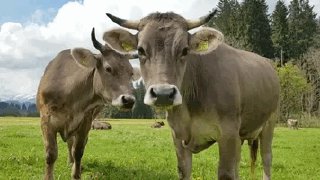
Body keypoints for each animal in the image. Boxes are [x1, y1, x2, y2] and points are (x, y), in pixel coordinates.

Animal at [36, 28, 138, 180]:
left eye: (131, 73)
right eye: (108, 68)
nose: (129, 100)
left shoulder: (86, 121)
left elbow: (78, 151)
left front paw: (76, 174)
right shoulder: (46, 119)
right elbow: (51, 154)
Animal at [105, 10, 280, 180]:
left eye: (185, 50)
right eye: (141, 50)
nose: (163, 93)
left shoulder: (228, 132)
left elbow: (226, 173)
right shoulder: (178, 135)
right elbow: (184, 171)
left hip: (269, 123)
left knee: (267, 159)